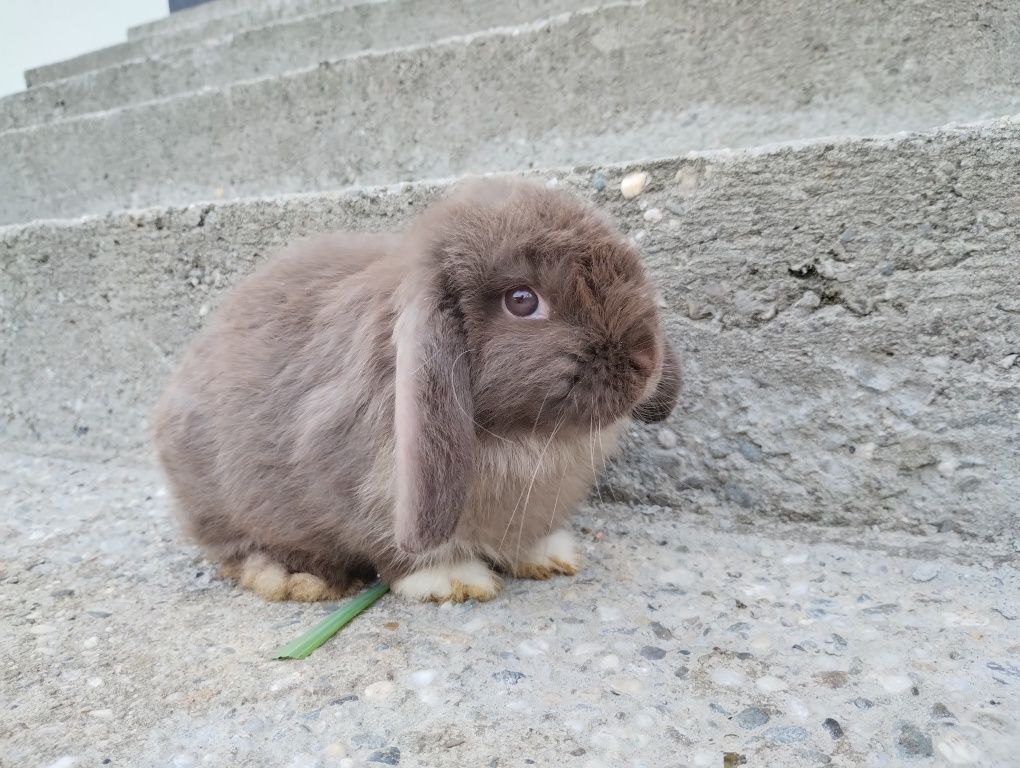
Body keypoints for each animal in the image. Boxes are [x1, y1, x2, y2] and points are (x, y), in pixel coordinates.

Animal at [153, 176, 677, 603]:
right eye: (522, 301)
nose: (645, 362)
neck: (522, 437)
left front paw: (548, 555)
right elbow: (399, 550)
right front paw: (454, 582)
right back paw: (296, 579)